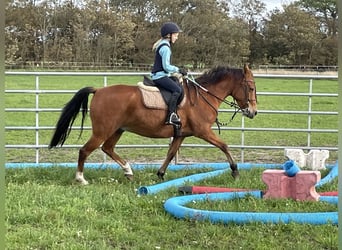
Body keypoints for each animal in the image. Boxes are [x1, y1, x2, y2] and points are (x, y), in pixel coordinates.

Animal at [48, 64, 256, 185]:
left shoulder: (181, 134)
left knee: (107, 149)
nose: (253, 112)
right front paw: (235, 171)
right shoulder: (203, 131)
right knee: (85, 150)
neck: (202, 97)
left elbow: (170, 153)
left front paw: (160, 174)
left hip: (117, 130)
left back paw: (128, 171)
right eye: (251, 87)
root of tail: (99, 90)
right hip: (103, 131)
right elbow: (224, 146)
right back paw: (81, 179)